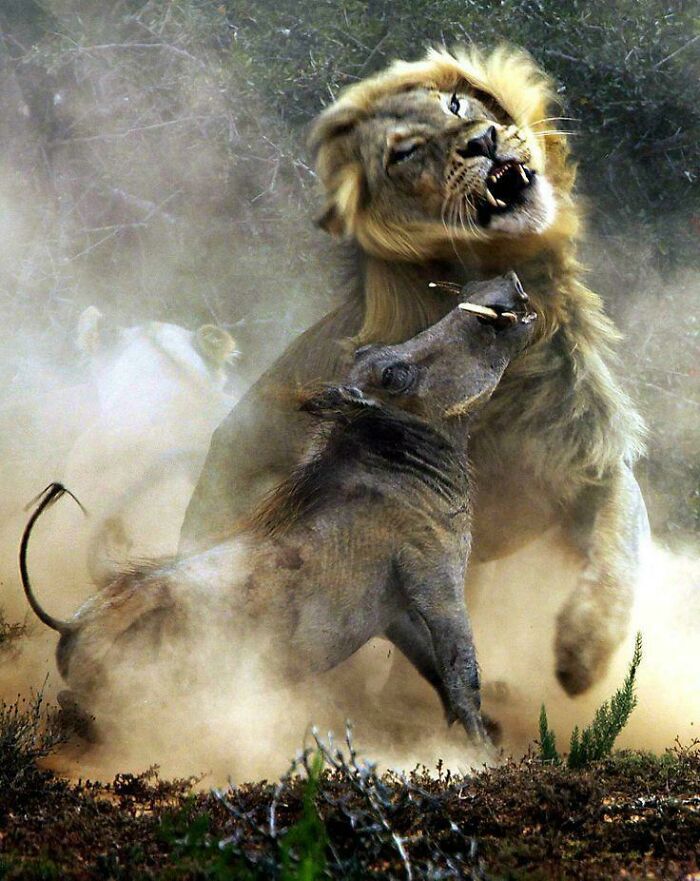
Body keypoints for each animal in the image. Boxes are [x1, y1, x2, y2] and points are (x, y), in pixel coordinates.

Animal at [181, 46, 648, 697]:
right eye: (403, 154)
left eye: (457, 104)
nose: (483, 141)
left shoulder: (592, 466)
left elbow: (619, 549)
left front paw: (583, 653)